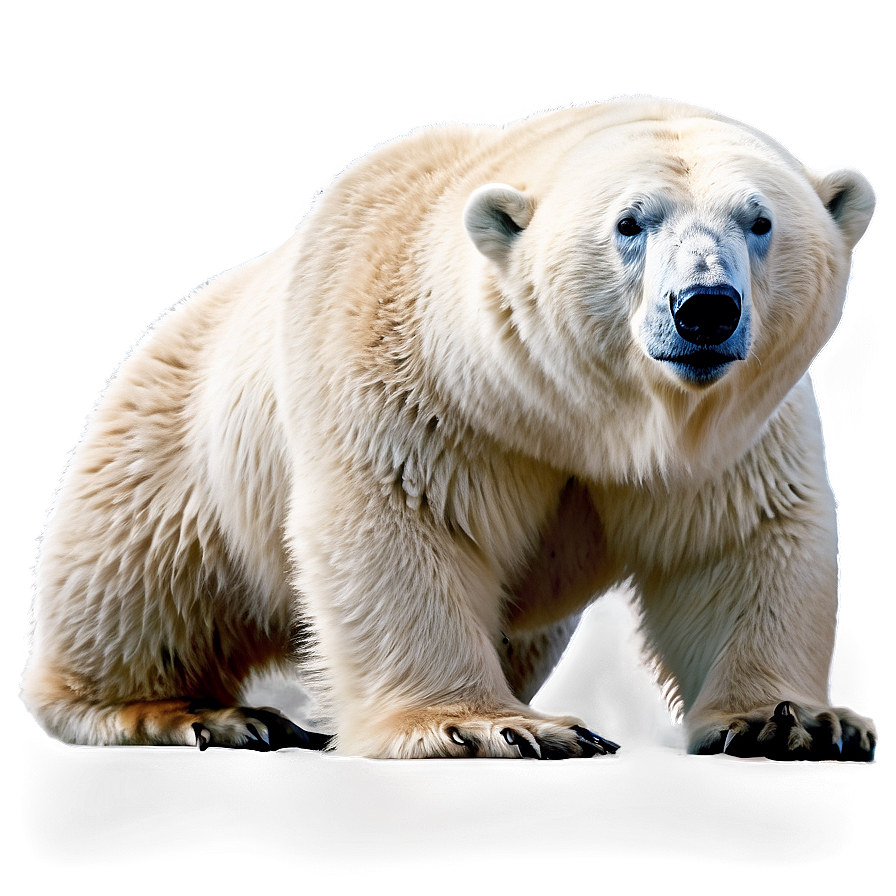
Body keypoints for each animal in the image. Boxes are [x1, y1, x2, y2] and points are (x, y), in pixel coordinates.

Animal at [21, 95, 877, 761]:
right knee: (144, 580)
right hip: (171, 447)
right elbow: (401, 521)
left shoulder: (734, 426)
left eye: (759, 220)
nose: (705, 308)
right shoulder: (413, 385)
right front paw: (492, 728)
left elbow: (741, 537)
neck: (579, 412)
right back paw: (195, 711)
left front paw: (794, 721)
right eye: (630, 223)